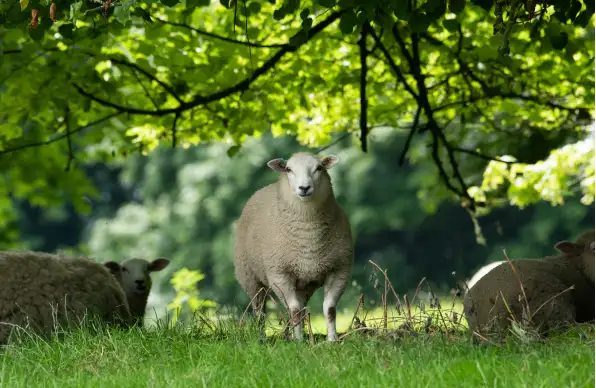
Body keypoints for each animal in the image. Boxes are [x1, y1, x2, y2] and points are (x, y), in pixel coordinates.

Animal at [234, 153, 354, 342]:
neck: (309, 235)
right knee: (259, 309)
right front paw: (298, 342)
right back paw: (262, 336)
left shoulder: (339, 270)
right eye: (289, 169)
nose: (304, 188)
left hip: (303, 284)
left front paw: (332, 340)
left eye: (319, 168)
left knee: (301, 308)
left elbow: (329, 309)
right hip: (249, 276)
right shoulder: (280, 274)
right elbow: (294, 310)